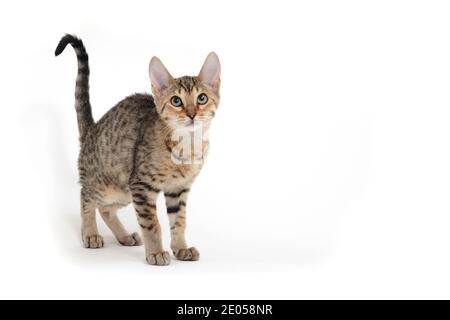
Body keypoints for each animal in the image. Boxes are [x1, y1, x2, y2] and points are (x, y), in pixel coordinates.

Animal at [55, 34, 221, 264]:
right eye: (176, 101)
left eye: (202, 98)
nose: (191, 114)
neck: (187, 145)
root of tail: (91, 130)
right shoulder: (142, 185)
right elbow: (152, 224)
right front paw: (156, 252)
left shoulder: (178, 189)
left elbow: (179, 221)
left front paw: (180, 248)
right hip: (110, 185)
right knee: (85, 196)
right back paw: (90, 233)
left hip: (124, 190)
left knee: (106, 209)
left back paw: (124, 236)